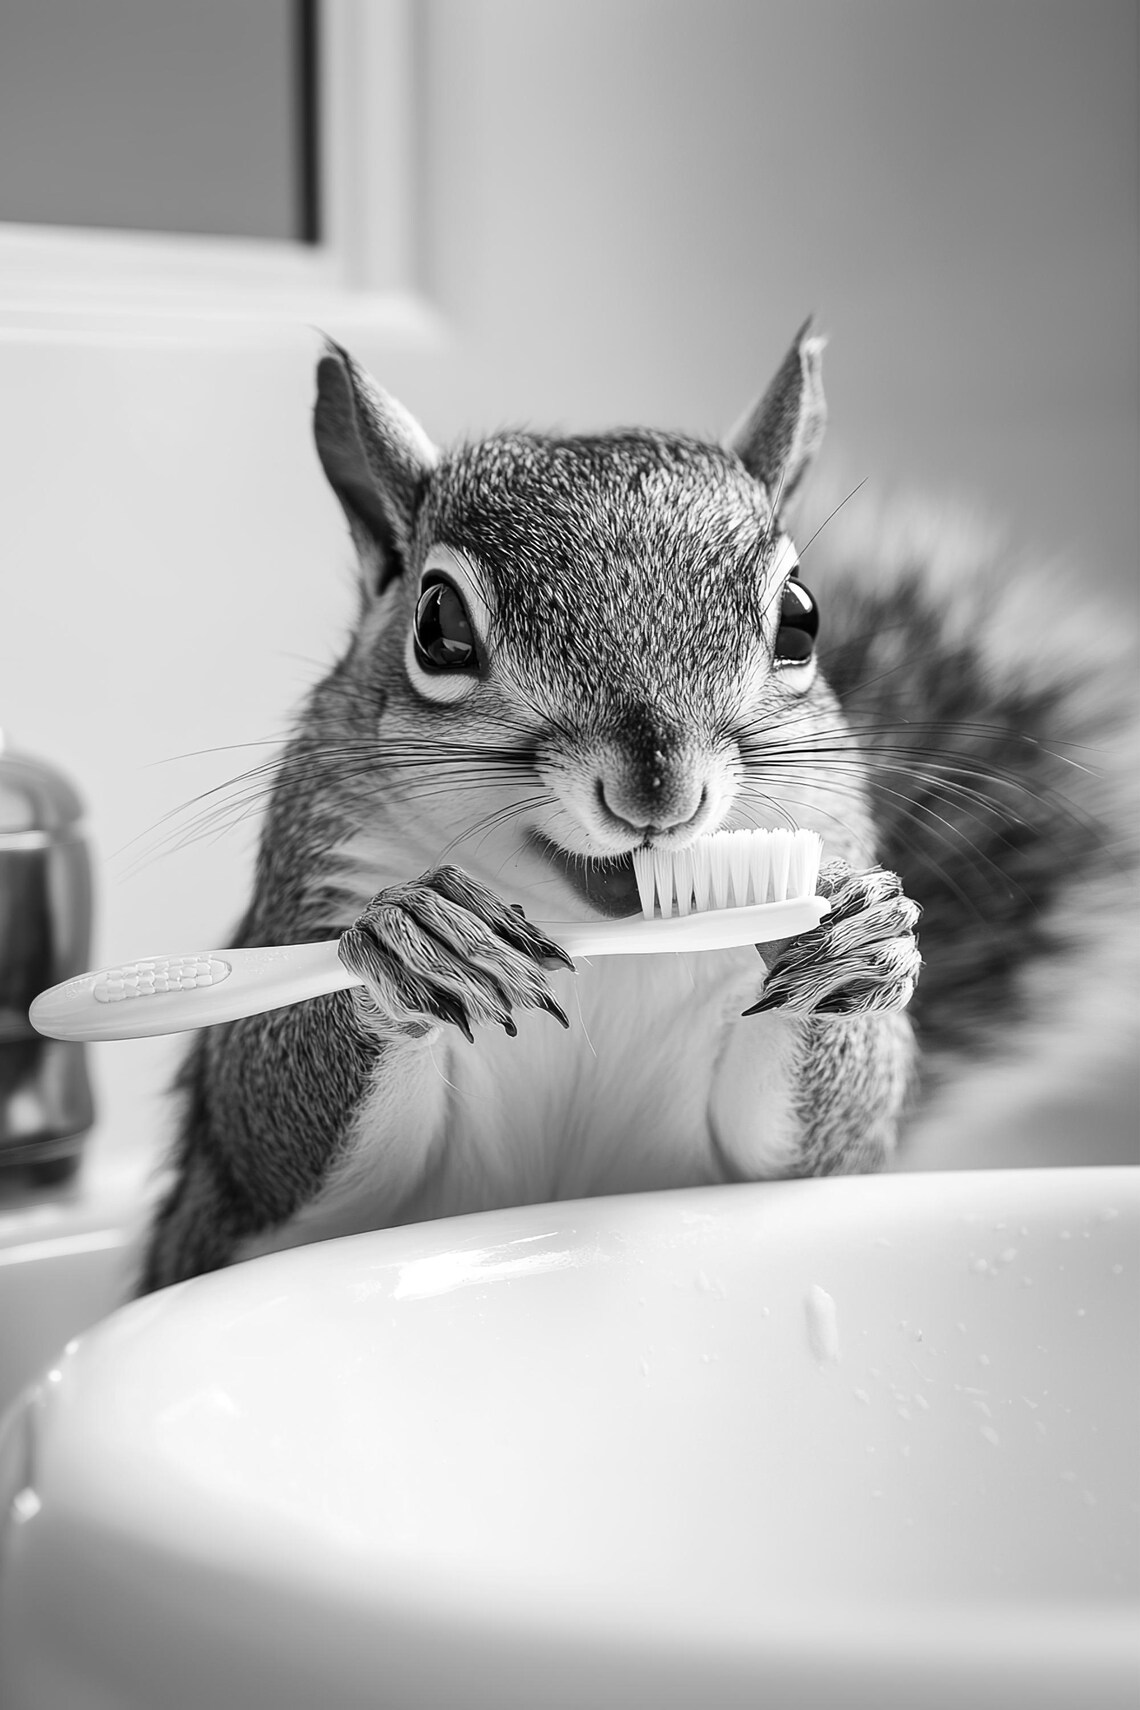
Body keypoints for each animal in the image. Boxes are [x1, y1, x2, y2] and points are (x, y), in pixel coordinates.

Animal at [138, 323, 1138, 1293]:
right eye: (437, 625)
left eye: (802, 617)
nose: (660, 790)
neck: (599, 940)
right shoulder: (309, 906)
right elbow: (262, 1127)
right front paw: (411, 936)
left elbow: (831, 1140)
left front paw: (855, 944)